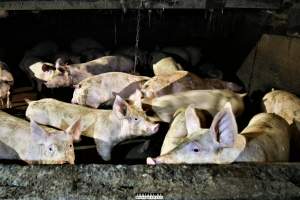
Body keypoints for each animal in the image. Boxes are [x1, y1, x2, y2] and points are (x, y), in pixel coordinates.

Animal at [25, 97, 159, 161]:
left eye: (145, 115)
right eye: (135, 119)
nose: (157, 125)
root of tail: (31, 103)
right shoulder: (102, 141)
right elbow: (104, 154)